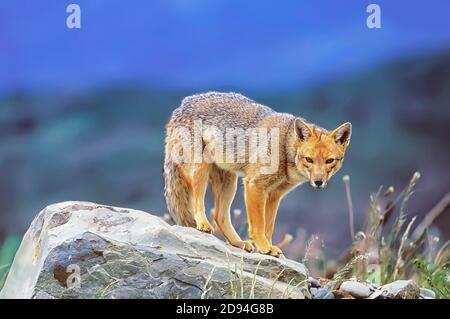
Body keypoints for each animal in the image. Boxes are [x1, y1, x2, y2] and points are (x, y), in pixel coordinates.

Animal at [165, 92, 352, 258]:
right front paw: (264, 246)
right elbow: (258, 225)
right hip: (201, 170)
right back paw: (203, 224)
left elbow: (268, 227)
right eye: (309, 159)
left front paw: (270, 247)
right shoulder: (255, 185)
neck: (285, 144)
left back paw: (238, 243)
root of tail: (180, 107)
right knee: (197, 204)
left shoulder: (275, 194)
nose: (319, 182)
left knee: (219, 215)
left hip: (229, 183)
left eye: (329, 161)